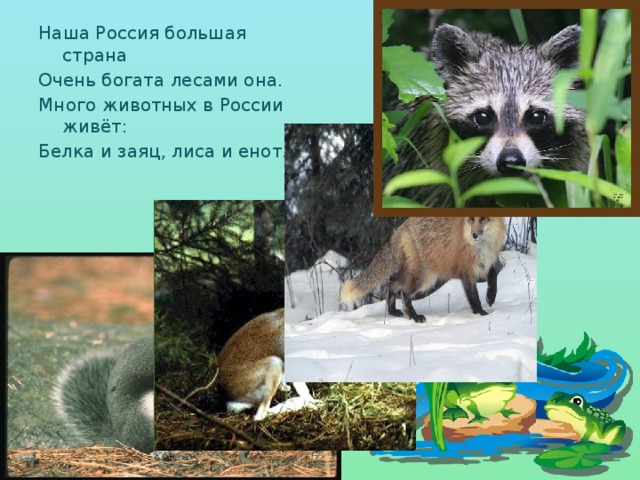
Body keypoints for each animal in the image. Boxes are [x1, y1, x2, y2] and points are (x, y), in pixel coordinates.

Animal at [341, 217, 507, 323]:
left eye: (484, 219)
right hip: (425, 278)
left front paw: (490, 297)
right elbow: (474, 297)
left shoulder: (483, 265)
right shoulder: (466, 271)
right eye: (471, 220)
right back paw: (414, 317)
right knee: (404, 292)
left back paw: (393, 311)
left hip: (414, 273)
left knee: (392, 281)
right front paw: (481, 314)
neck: (482, 247)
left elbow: (494, 274)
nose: (474, 235)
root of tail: (401, 227)